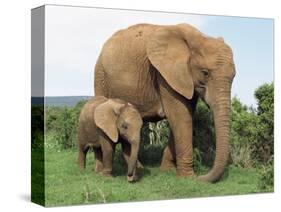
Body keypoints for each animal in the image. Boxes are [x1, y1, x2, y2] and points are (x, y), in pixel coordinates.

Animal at [93, 22, 235, 182]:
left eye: (234, 76)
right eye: (205, 73)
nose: (201, 176)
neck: (197, 37)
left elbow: (184, 115)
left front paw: (167, 170)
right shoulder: (165, 75)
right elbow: (180, 117)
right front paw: (188, 177)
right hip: (100, 76)